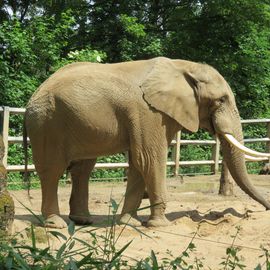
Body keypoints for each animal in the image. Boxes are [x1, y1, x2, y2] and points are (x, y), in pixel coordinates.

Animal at [23, 57, 270, 228]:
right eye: (220, 100)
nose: (262, 210)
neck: (183, 66)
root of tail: (32, 97)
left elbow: (138, 162)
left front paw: (129, 223)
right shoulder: (149, 113)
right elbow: (150, 159)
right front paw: (160, 226)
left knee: (82, 168)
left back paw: (83, 220)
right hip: (48, 123)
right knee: (52, 169)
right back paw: (56, 223)